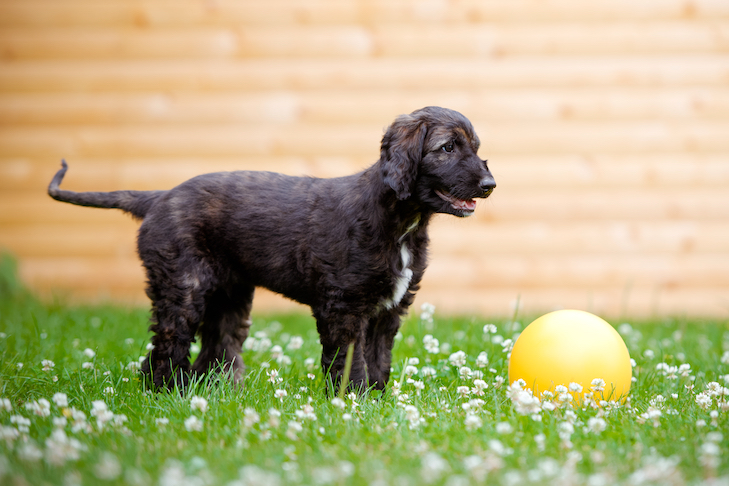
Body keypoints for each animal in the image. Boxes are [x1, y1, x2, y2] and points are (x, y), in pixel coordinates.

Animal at [48, 105, 494, 392]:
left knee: (217, 346)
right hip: (182, 286)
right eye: (447, 148)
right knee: (168, 343)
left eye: (474, 147)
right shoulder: (344, 306)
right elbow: (351, 361)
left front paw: (377, 403)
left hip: (228, 294)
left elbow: (379, 361)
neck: (399, 221)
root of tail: (158, 198)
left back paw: (215, 393)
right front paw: (351, 402)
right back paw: (166, 393)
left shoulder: (388, 310)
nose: (490, 185)